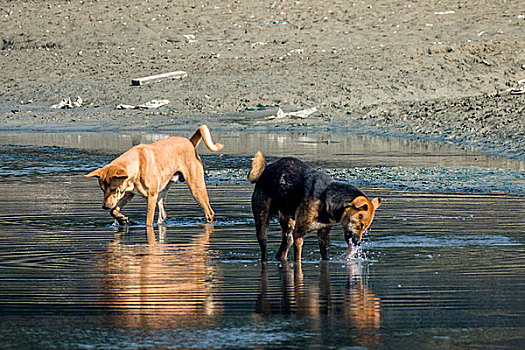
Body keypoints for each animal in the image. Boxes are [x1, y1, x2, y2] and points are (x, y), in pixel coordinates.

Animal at [85, 124, 223, 226]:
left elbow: (148, 221)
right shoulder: (128, 194)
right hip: (162, 191)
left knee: (209, 212)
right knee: (163, 215)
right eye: (102, 190)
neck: (136, 165)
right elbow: (114, 211)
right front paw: (122, 219)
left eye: (113, 189)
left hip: (195, 187)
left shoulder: (151, 196)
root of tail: (190, 142)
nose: (104, 206)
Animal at [248, 152, 378, 262]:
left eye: (365, 228)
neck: (327, 200)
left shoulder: (323, 234)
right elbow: (298, 258)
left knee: (281, 252)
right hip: (262, 224)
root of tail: (264, 171)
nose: (357, 243)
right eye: (361, 225)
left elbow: (325, 256)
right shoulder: (299, 234)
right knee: (264, 250)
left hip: (289, 229)